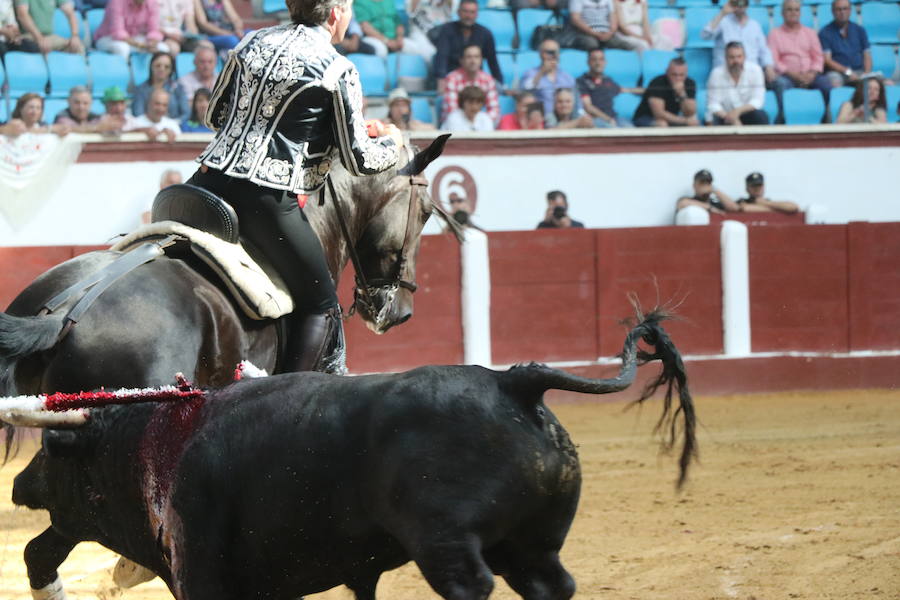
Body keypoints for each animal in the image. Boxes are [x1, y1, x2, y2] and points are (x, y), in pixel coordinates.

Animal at [10, 314, 696, 600]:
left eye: (52, 454)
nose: (18, 486)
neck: (154, 439)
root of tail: (515, 383)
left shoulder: (201, 573)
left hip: (445, 542)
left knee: (471, 587)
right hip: (531, 545)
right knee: (551, 585)